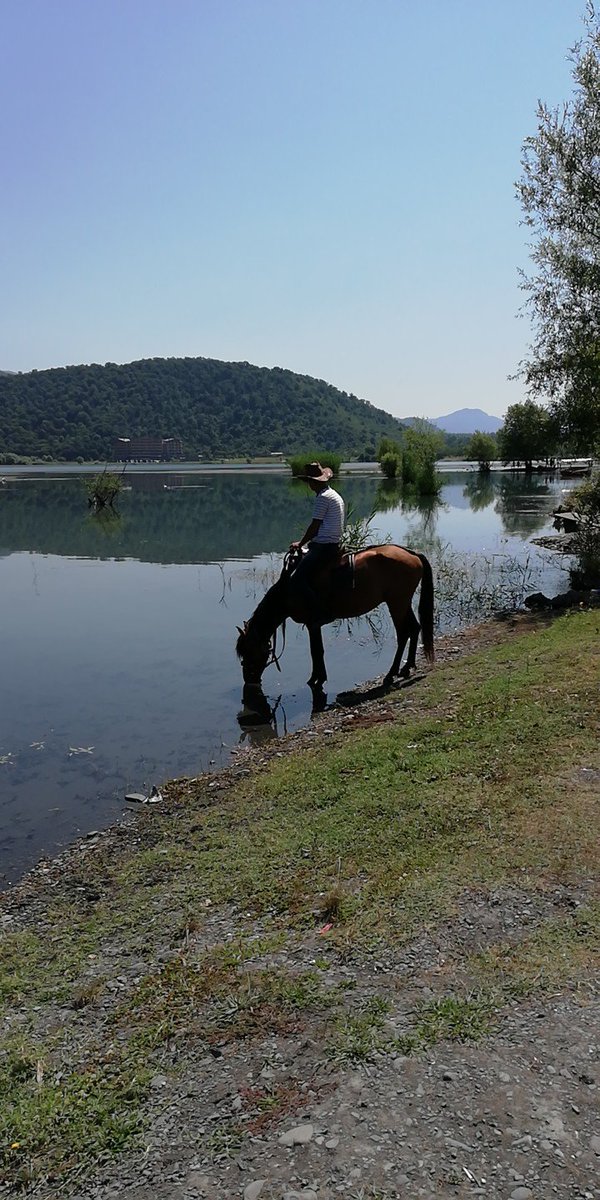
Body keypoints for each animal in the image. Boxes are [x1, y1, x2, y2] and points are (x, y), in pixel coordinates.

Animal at [236, 544, 434, 695]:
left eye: (249, 651)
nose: (249, 681)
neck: (286, 591)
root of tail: (412, 554)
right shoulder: (312, 625)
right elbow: (316, 651)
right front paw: (317, 678)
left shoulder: (313, 624)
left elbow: (317, 651)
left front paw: (316, 679)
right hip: (402, 602)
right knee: (415, 628)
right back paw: (407, 668)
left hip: (397, 603)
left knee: (403, 634)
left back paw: (391, 674)